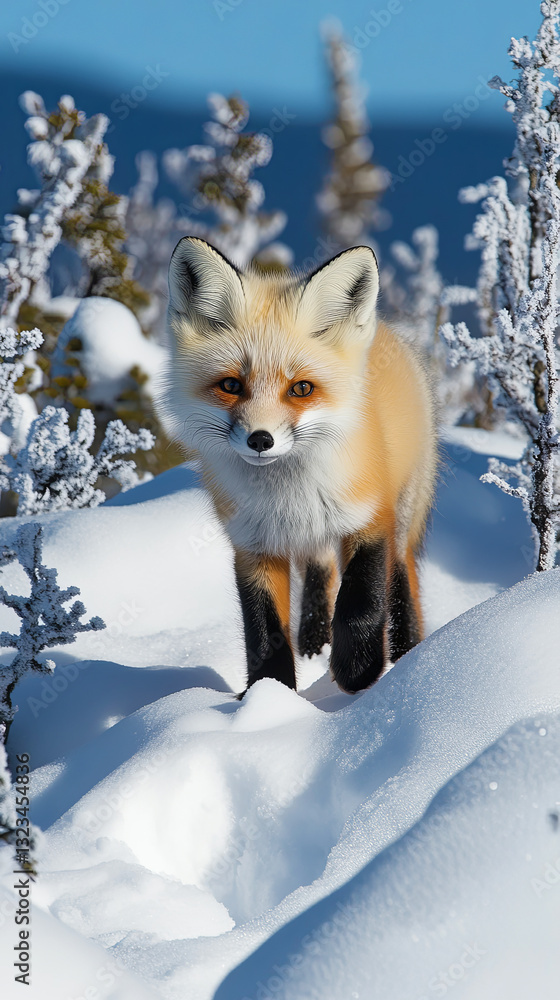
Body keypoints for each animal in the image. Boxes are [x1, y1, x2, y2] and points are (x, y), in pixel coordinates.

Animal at [161, 237, 437, 695]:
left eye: (301, 389)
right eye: (231, 385)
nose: (260, 439)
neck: (288, 496)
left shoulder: (369, 519)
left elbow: (361, 603)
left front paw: (357, 671)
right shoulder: (253, 544)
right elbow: (262, 629)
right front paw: (268, 696)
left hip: (402, 518)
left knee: (402, 585)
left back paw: (408, 656)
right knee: (320, 572)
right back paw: (313, 644)